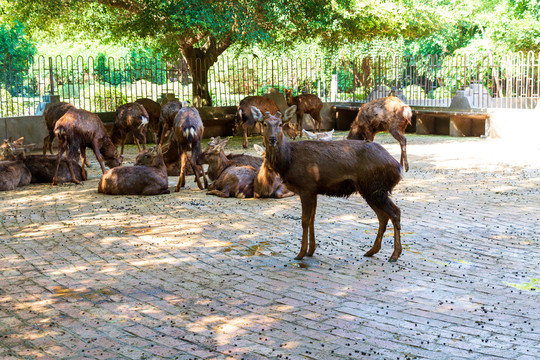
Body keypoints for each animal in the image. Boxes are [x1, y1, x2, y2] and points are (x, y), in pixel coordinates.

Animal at [252, 104, 400, 262]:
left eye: (280, 124)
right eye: (264, 123)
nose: (272, 139)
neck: (288, 161)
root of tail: (398, 168)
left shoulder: (306, 186)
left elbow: (305, 220)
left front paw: (301, 253)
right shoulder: (314, 189)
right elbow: (312, 218)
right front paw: (311, 250)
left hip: (375, 187)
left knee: (395, 212)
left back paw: (394, 254)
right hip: (369, 189)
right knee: (383, 216)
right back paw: (372, 251)